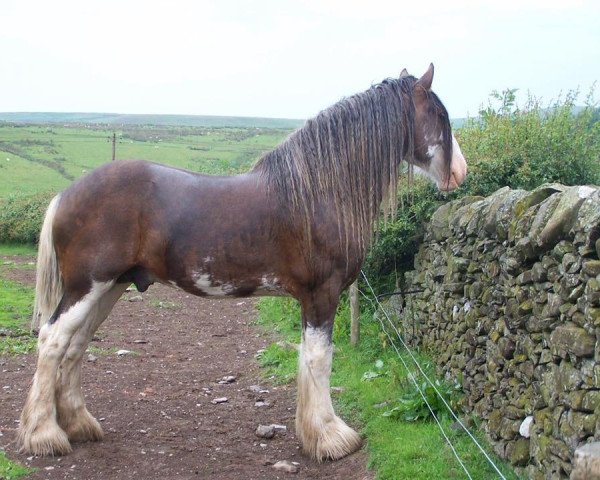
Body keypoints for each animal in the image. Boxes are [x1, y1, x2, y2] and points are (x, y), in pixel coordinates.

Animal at [17, 63, 468, 462]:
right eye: (440, 115)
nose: (460, 173)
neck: (318, 192)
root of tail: (66, 194)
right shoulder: (321, 293)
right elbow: (319, 360)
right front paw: (330, 438)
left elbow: (309, 360)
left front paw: (314, 433)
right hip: (87, 286)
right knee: (53, 341)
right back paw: (44, 435)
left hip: (109, 287)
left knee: (75, 346)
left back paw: (79, 425)